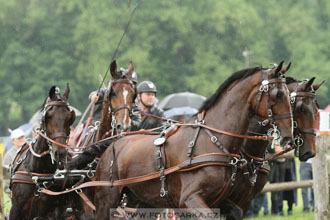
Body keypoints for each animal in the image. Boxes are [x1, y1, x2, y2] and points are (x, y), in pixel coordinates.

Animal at [92, 61, 294, 219]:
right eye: (278, 95)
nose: (288, 136)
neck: (213, 141)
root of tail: (114, 143)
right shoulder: (189, 200)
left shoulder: (223, 200)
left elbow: (235, 212)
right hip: (107, 200)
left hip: (142, 201)